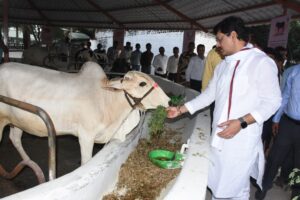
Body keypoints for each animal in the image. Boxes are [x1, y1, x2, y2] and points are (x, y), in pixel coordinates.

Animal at [0, 62, 170, 164]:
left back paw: (29, 162)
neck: (106, 100)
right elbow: (86, 162)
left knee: (15, 139)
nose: (169, 101)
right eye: (142, 83)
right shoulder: (86, 136)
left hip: (18, 121)